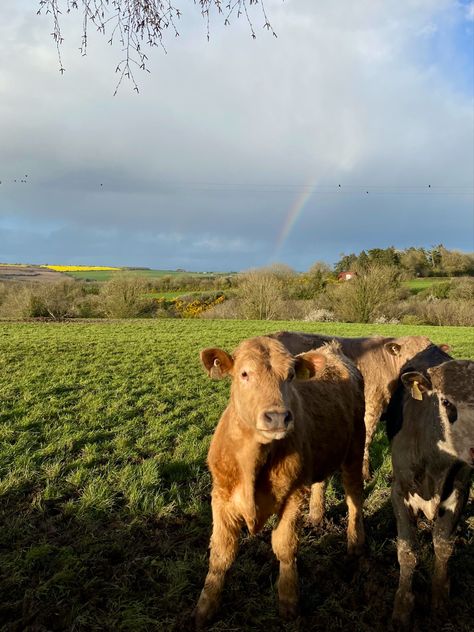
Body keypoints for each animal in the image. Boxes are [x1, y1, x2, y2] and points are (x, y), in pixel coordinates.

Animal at [194, 336, 364, 628]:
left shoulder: (294, 496)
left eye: (291, 375)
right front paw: (204, 609)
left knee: (354, 498)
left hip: (355, 448)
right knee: (321, 482)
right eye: (244, 374)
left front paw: (288, 603)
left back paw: (355, 547)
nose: (277, 417)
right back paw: (317, 517)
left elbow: (285, 547)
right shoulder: (221, 497)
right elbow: (221, 553)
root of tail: (332, 350)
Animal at [386, 348, 472, 628]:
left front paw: (440, 598)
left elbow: (443, 545)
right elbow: (407, 551)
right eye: (446, 402)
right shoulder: (399, 493)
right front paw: (402, 607)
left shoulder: (460, 491)